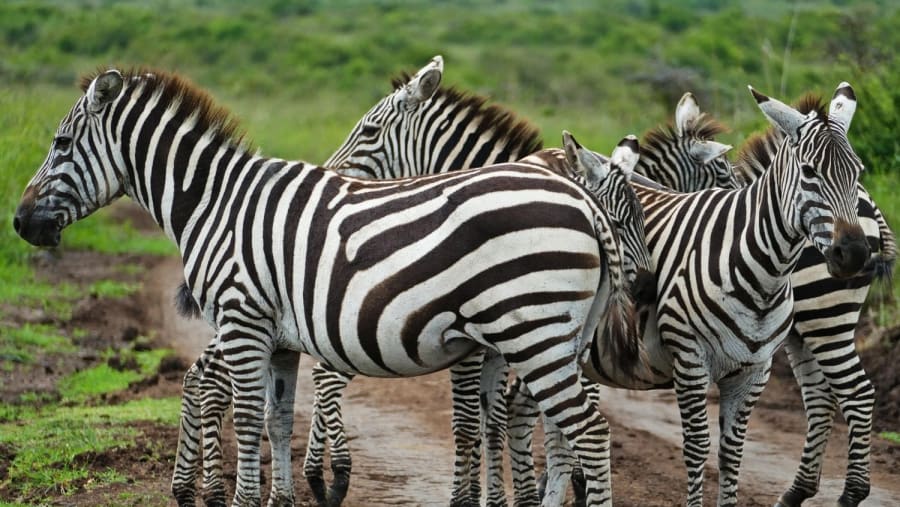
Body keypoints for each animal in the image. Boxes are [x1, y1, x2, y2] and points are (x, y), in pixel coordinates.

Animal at [13, 67, 647, 507]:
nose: (19, 223)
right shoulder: (279, 339)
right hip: (558, 339)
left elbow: (249, 419)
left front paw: (247, 499)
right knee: (563, 427)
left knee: (588, 429)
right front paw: (280, 499)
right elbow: (276, 419)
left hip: (532, 332)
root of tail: (585, 204)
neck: (218, 204)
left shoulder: (243, 323)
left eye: (61, 144)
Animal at [506, 82, 872, 507]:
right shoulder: (690, 359)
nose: (854, 253)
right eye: (810, 172)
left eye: (858, 171)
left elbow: (732, 452)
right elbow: (697, 447)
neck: (760, 274)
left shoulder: (755, 370)